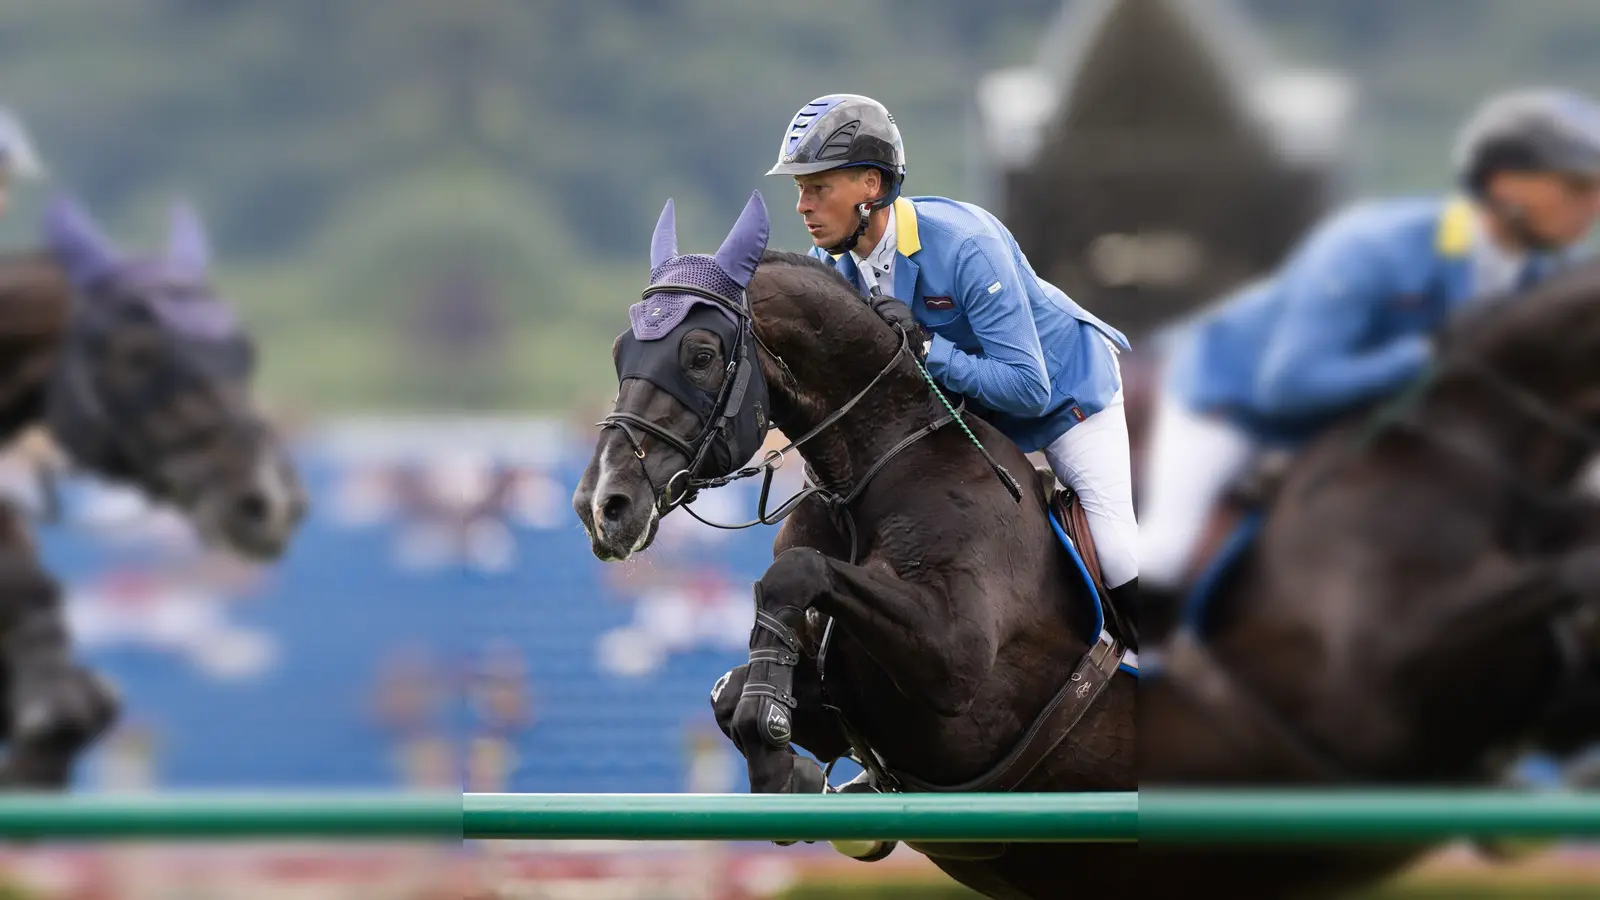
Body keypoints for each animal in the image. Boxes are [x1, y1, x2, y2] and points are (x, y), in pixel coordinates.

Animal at [576, 190, 1139, 896]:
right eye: (620, 352)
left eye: (700, 355)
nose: (602, 507)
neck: (875, 464)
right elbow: (733, 688)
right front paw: (783, 763)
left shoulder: (955, 659)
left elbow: (795, 572)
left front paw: (768, 729)